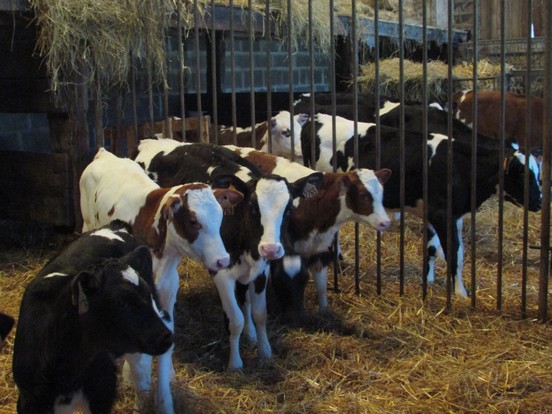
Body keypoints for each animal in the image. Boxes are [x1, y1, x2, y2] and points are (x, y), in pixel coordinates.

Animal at [12, 220, 172, 414]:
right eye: (121, 303)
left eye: (146, 293)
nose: (166, 337)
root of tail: (116, 226)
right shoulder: (30, 400)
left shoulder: (102, 392)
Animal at [78, 149, 243, 414]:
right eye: (193, 221)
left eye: (220, 218)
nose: (222, 260)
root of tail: (105, 153)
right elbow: (140, 361)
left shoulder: (166, 293)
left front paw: (164, 397)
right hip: (86, 224)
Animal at [134, 139, 324, 372]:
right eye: (252, 207)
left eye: (288, 209)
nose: (271, 249)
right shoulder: (222, 273)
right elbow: (235, 319)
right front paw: (235, 363)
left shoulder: (260, 270)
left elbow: (259, 313)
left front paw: (264, 351)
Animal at [225, 146, 392, 320]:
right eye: (363, 195)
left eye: (381, 194)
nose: (385, 222)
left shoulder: (319, 250)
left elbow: (321, 284)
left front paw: (324, 311)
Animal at [300, 115, 540, 298]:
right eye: (522, 174)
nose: (539, 202)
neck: (462, 164)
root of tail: (316, 119)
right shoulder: (442, 213)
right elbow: (454, 253)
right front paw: (462, 294)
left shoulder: (447, 215)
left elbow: (436, 249)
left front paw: (429, 281)